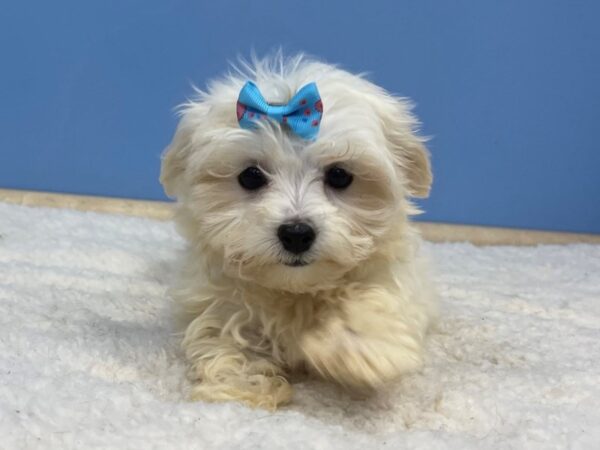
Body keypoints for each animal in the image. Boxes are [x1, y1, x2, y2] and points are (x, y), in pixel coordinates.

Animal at [161, 54, 436, 410]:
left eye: (340, 176)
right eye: (250, 176)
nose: (296, 233)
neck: (296, 290)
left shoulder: (396, 276)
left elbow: (379, 298)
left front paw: (361, 343)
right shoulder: (221, 302)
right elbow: (229, 339)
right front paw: (242, 390)